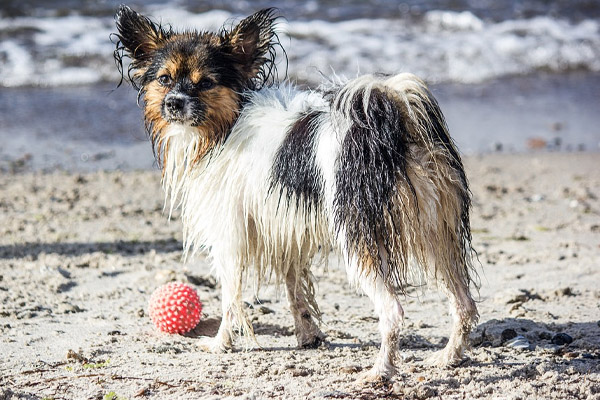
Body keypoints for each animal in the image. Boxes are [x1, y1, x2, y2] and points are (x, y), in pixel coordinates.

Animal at [112, 6, 478, 382]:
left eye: (205, 83)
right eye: (164, 79)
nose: (174, 103)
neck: (225, 126)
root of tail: (392, 124)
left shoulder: (230, 235)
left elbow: (230, 298)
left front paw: (220, 344)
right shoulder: (286, 226)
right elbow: (294, 287)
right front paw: (307, 335)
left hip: (359, 241)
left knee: (393, 311)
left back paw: (380, 370)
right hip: (436, 234)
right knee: (464, 303)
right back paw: (448, 357)